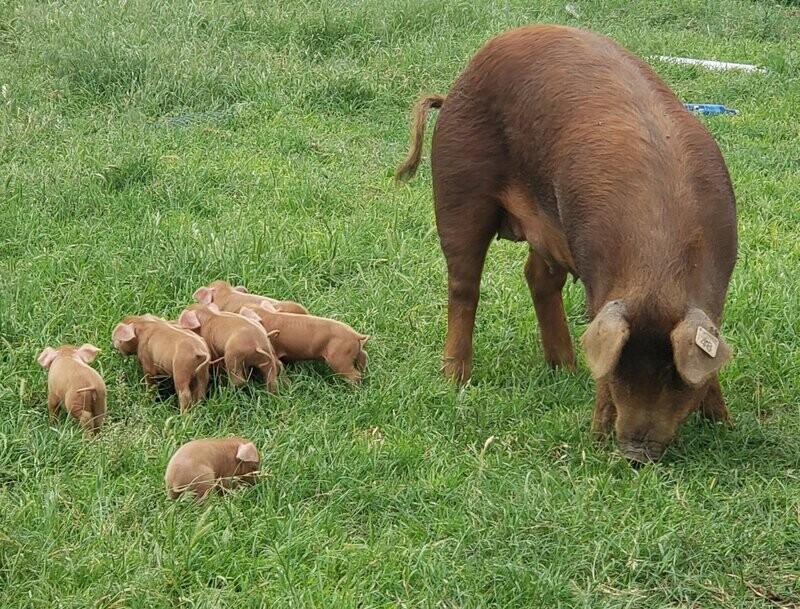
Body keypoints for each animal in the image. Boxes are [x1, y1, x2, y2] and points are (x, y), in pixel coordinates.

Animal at [395, 25, 737, 462]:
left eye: (674, 378)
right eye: (619, 371)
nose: (634, 455)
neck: (658, 275)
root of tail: (456, 85)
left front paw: (725, 426)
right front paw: (596, 439)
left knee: (537, 277)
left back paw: (565, 368)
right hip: (458, 185)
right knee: (463, 285)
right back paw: (456, 378)